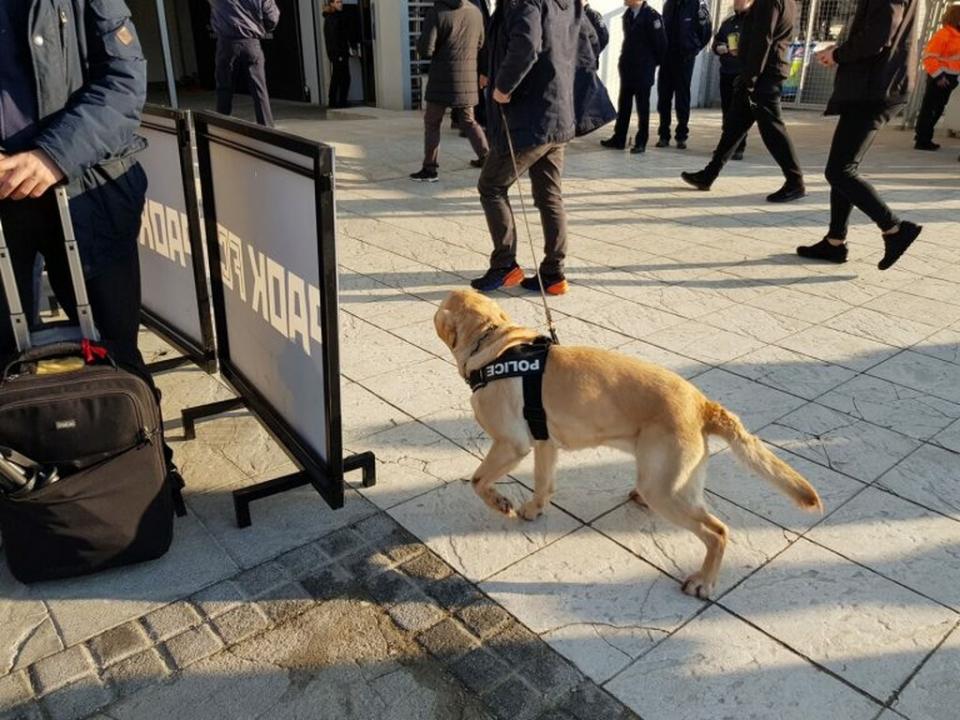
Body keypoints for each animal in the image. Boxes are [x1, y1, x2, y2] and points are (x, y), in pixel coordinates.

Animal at [438, 290, 820, 600]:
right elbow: (543, 483)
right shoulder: (545, 442)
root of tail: (703, 404)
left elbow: (478, 480)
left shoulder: (512, 443)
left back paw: (703, 581)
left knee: (718, 531)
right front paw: (534, 508)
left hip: (666, 489)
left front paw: (500, 502)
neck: (493, 343)